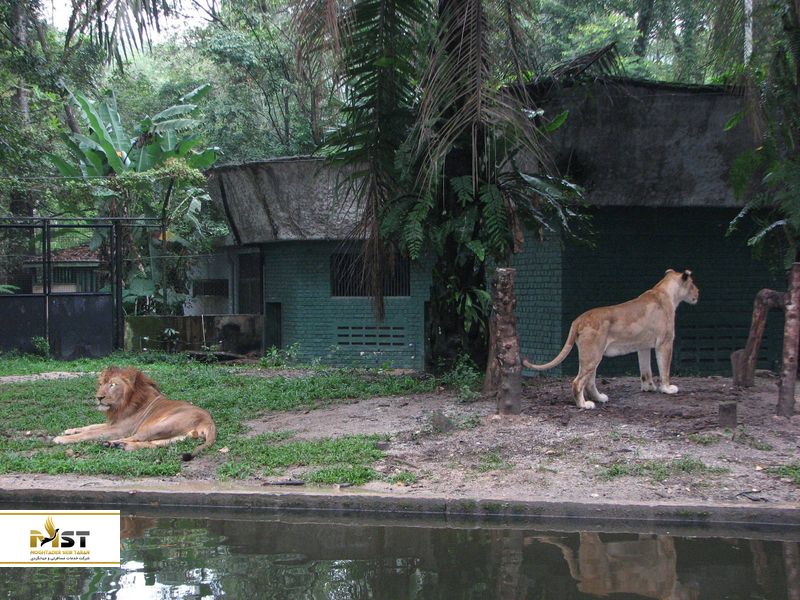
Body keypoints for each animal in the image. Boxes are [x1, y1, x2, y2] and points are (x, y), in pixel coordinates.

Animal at [53, 366, 216, 460]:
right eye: (101, 384)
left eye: (112, 385)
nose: (98, 397)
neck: (120, 405)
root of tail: (209, 421)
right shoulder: (113, 422)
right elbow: (91, 426)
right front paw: (69, 430)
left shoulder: (119, 428)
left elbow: (90, 433)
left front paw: (61, 438)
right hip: (176, 436)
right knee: (153, 444)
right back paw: (119, 446)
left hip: (158, 426)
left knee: (134, 438)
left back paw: (112, 443)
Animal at [523, 269, 699, 409]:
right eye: (692, 284)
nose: (698, 293)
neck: (666, 292)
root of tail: (579, 319)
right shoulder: (665, 342)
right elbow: (665, 368)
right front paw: (667, 388)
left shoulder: (643, 346)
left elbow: (645, 370)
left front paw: (649, 387)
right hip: (593, 355)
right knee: (578, 382)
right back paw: (584, 405)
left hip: (590, 356)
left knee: (589, 382)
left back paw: (600, 398)